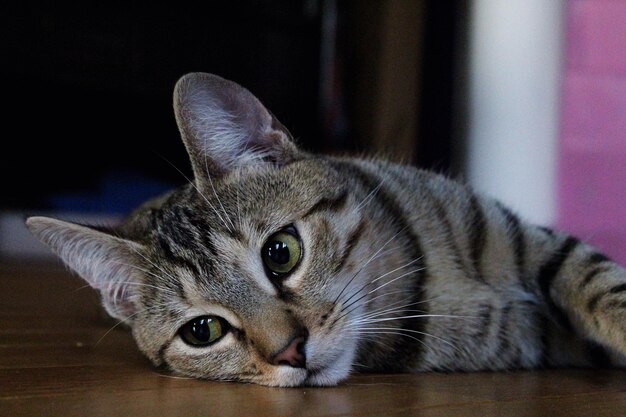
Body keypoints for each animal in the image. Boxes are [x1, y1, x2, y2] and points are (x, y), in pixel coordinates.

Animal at [26, 72, 624, 386]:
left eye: (281, 252)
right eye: (202, 331)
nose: (291, 352)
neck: (419, 294)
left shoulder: (540, 244)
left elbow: (602, 282)